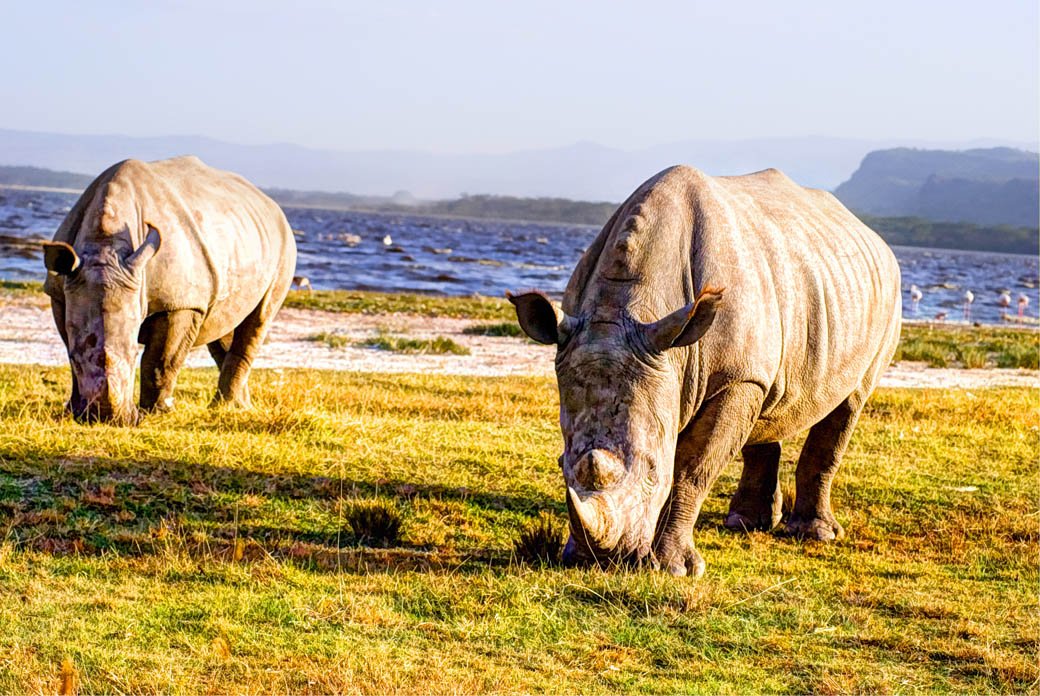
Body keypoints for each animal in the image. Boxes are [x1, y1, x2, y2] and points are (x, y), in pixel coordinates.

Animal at [43, 156, 297, 424]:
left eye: (133, 355)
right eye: (75, 361)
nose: (107, 419)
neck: (105, 245)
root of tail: (271, 204)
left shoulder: (181, 301)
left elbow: (161, 360)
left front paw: (154, 413)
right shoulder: (61, 292)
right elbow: (71, 345)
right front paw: (73, 411)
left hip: (284, 245)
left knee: (260, 317)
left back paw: (225, 407)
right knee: (224, 321)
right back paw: (237, 407)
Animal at [509, 165, 901, 576]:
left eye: (653, 471)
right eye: (560, 464)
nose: (602, 562)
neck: (628, 310)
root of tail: (868, 232)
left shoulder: (733, 377)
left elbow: (692, 470)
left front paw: (674, 569)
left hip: (885, 296)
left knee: (849, 403)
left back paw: (815, 534)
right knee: (767, 403)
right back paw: (745, 523)